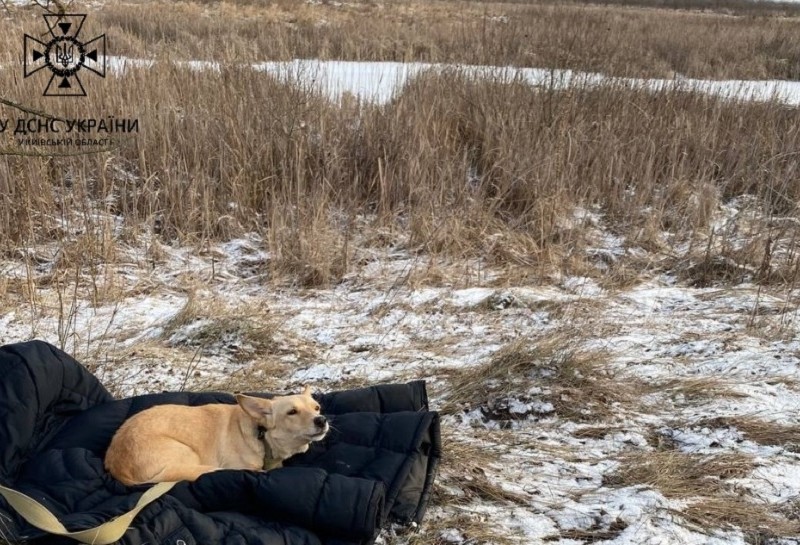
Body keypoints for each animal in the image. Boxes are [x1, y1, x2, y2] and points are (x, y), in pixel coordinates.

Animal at [104, 384, 328, 486]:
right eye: (292, 412)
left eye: (317, 407)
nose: (322, 420)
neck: (261, 434)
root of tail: (118, 467)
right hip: (187, 454)